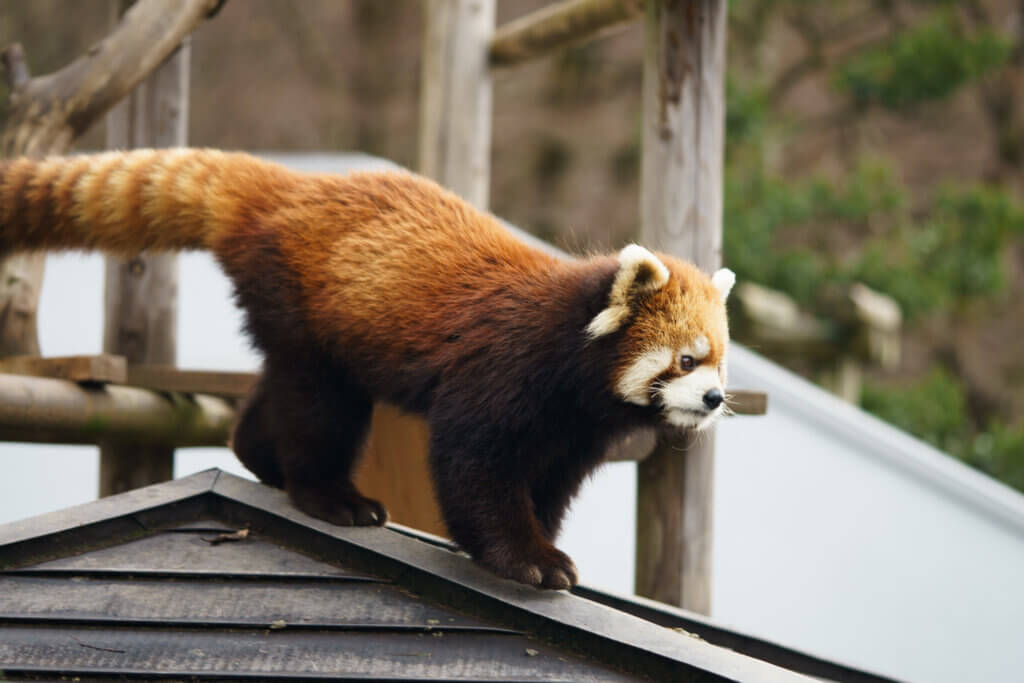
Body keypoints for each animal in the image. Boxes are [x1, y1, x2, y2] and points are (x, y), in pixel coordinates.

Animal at [2, 149, 737, 589]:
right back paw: (330, 494)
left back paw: (259, 455)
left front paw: (540, 545)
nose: (715, 400)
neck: (570, 359)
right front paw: (523, 556)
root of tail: (290, 186)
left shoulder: (575, 430)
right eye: (687, 359)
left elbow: (548, 484)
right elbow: (473, 463)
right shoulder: (501, 370)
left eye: (720, 364)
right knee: (319, 407)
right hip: (307, 306)